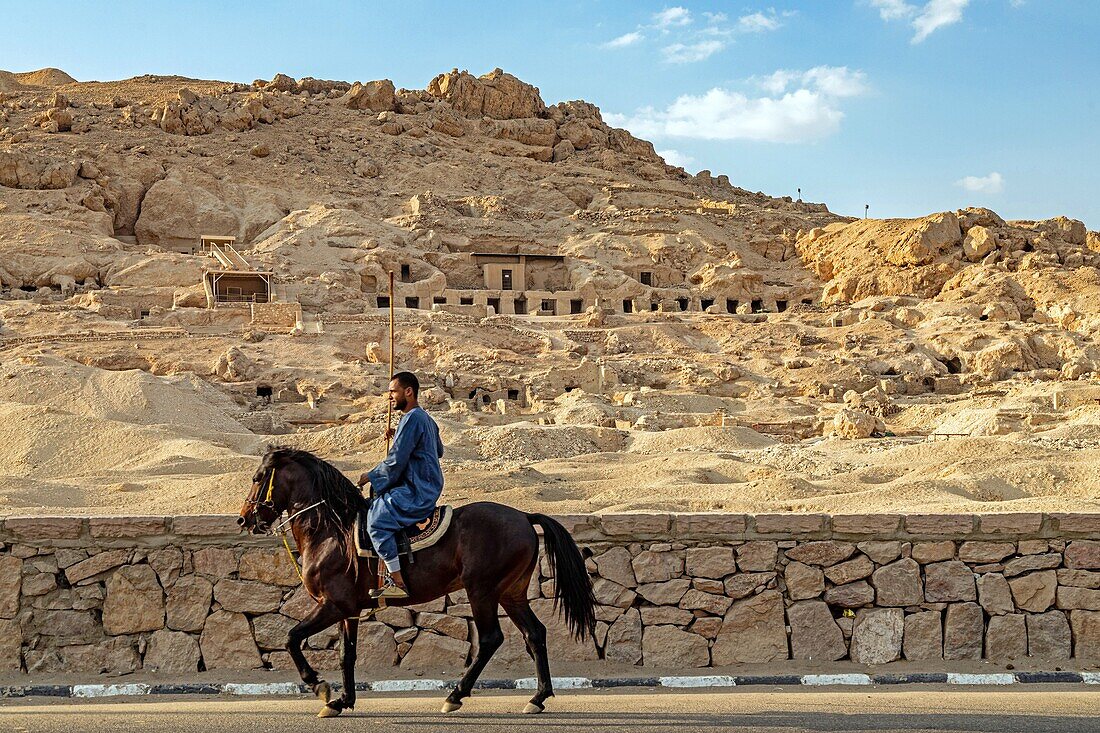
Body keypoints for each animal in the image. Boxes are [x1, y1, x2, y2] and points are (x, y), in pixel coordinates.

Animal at [237, 444, 598, 713]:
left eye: (257, 477)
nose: (244, 519)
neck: (331, 532)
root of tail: (524, 515)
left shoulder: (333, 605)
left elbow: (291, 637)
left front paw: (319, 685)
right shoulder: (348, 610)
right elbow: (345, 654)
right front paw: (343, 701)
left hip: (482, 591)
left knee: (491, 639)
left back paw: (456, 695)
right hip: (512, 593)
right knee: (534, 634)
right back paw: (538, 697)